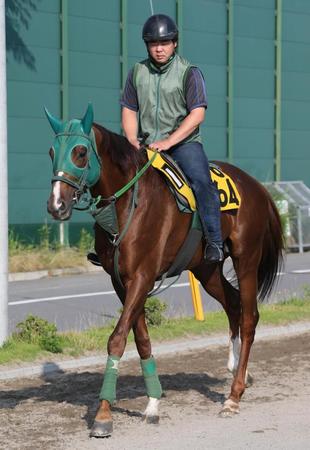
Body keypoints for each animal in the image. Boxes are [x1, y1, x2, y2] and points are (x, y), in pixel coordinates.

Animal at [45, 104, 284, 436]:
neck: (128, 203)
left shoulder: (142, 278)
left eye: (80, 152)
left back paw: (233, 396)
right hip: (207, 270)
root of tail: (257, 187)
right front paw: (153, 403)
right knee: (234, 305)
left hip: (246, 260)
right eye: (52, 151)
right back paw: (240, 371)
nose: (56, 205)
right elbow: (141, 339)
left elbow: (117, 339)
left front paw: (103, 415)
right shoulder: (122, 282)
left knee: (249, 318)